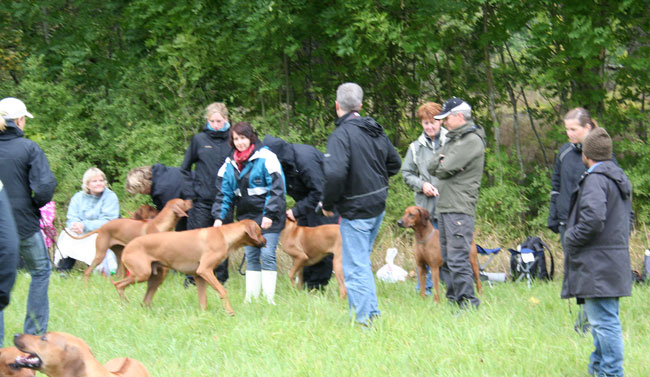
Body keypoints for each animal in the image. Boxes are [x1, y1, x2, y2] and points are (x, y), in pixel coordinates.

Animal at [112, 219, 264, 316]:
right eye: (260, 231)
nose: (265, 241)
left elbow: (203, 301)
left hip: (156, 277)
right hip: (142, 274)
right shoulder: (205, 270)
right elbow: (222, 291)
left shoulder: (199, 276)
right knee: (119, 285)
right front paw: (230, 311)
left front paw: (203, 315)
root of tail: (127, 246)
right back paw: (125, 304)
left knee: (145, 300)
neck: (223, 235)